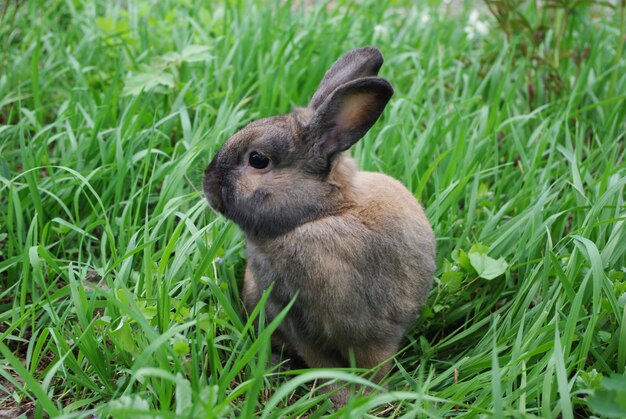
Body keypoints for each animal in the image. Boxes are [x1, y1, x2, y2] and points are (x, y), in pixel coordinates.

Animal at [204, 47, 434, 406]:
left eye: (258, 160)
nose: (207, 181)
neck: (319, 214)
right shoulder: (292, 317)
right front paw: (345, 398)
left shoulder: (369, 336)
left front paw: (358, 398)